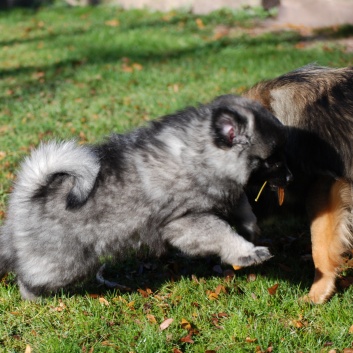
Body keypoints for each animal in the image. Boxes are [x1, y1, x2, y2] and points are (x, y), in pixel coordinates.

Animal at [0, 95, 290, 298]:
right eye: (271, 161)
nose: (290, 178)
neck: (198, 154)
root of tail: (26, 197)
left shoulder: (228, 194)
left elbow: (243, 207)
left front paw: (251, 229)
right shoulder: (186, 222)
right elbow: (223, 233)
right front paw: (247, 252)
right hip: (62, 265)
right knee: (29, 278)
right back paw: (33, 296)